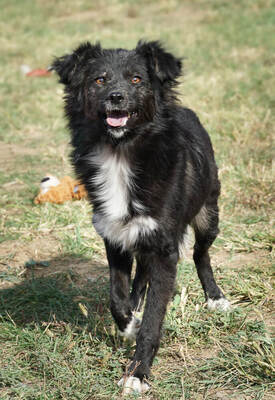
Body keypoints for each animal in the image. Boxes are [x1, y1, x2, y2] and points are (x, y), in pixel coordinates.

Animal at [52, 40, 231, 394]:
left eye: (136, 79)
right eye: (100, 80)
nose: (116, 97)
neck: (120, 152)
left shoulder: (163, 248)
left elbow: (153, 320)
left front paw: (138, 373)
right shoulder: (114, 235)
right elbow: (117, 297)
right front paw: (129, 324)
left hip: (208, 214)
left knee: (200, 254)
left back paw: (215, 297)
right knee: (141, 277)